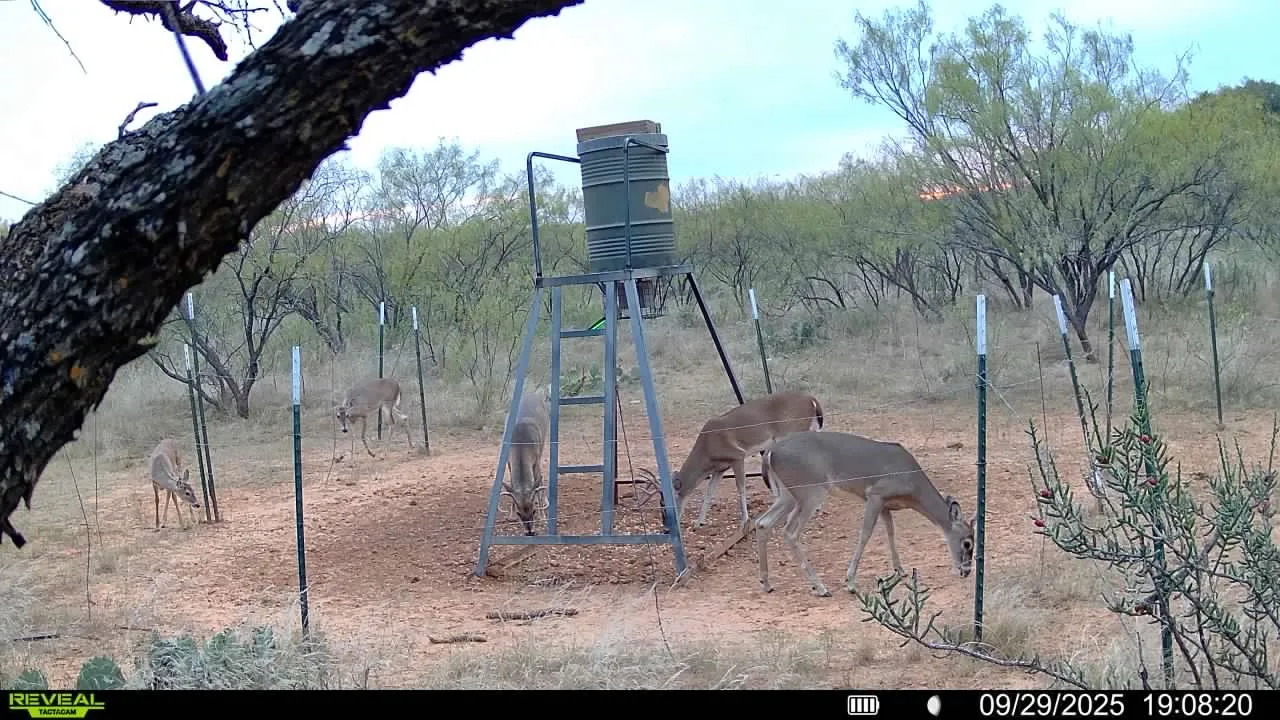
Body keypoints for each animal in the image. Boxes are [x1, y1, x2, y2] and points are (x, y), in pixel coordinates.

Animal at [501, 384, 551, 536]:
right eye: (519, 513)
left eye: (533, 511)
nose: (530, 532)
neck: (520, 445)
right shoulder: (509, 461)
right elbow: (512, 484)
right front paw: (510, 515)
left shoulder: (536, 459)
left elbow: (538, 483)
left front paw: (543, 517)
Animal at [671, 391, 824, 531]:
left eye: (671, 499)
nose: (669, 526)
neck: (707, 450)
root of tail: (812, 399)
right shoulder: (720, 469)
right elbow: (709, 493)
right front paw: (699, 522)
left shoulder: (738, 455)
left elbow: (741, 488)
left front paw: (744, 521)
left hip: (791, 432)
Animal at [754, 430, 975, 598]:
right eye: (967, 543)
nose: (966, 571)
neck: (912, 486)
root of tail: (770, 453)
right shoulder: (875, 494)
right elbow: (865, 534)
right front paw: (851, 582)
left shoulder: (885, 504)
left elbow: (891, 531)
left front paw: (900, 570)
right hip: (810, 491)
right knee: (790, 532)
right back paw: (821, 587)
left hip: (786, 494)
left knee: (763, 523)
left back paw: (767, 583)